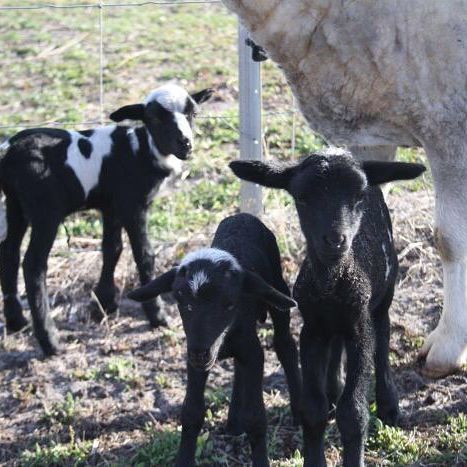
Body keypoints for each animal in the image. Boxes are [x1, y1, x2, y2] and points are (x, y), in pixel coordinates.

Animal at [129, 215, 304, 467]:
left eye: (230, 303)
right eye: (182, 302)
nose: (201, 353)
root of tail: (243, 216)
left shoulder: (252, 352)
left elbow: (256, 418)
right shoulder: (195, 355)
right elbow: (191, 413)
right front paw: (184, 459)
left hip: (278, 289)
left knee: (285, 345)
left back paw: (298, 411)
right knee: (239, 367)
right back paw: (234, 422)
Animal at [229, 151, 426, 467]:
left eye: (358, 197)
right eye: (301, 198)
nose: (335, 240)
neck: (333, 284)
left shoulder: (360, 328)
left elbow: (354, 412)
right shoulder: (312, 328)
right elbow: (313, 409)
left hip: (385, 292)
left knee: (383, 339)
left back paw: (388, 406)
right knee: (336, 347)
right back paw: (334, 388)